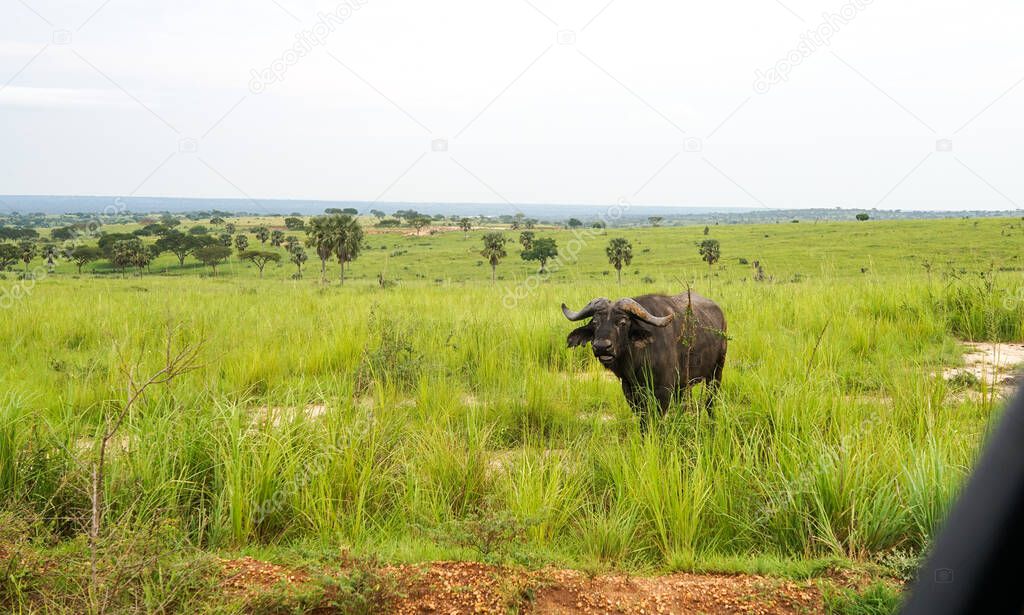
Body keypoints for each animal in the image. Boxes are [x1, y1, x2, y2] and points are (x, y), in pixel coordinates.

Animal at [561, 290, 729, 427]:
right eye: (595, 322)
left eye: (622, 322)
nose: (602, 347)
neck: (638, 361)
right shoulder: (629, 390)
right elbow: (643, 420)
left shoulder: (663, 391)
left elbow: (656, 419)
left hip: (716, 372)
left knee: (710, 402)